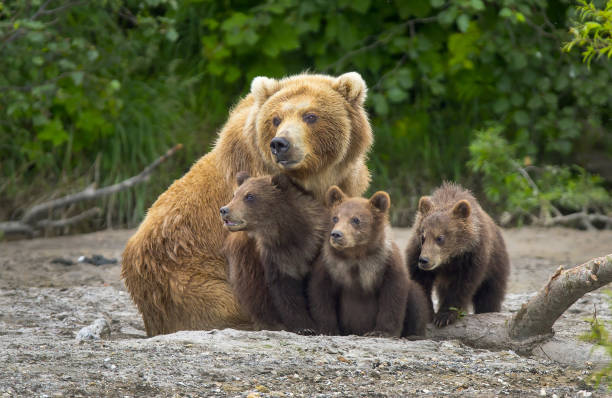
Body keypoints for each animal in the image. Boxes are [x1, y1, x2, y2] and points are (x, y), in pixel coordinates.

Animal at [218, 173, 328, 334]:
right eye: (234, 194)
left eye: (249, 196)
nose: (224, 210)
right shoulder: (276, 259)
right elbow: (286, 295)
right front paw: (304, 327)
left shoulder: (314, 247)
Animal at [308, 187, 428, 336]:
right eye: (335, 218)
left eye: (355, 219)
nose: (336, 234)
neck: (356, 254)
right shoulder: (329, 264)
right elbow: (320, 294)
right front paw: (329, 329)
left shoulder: (386, 262)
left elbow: (393, 296)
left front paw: (382, 331)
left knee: (417, 297)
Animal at [406, 182, 512, 328]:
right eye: (423, 236)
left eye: (440, 238)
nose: (424, 260)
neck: (450, 259)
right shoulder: (417, 251)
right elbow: (420, 281)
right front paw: (428, 312)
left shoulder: (472, 256)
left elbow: (462, 285)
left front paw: (444, 316)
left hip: (496, 265)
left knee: (490, 294)